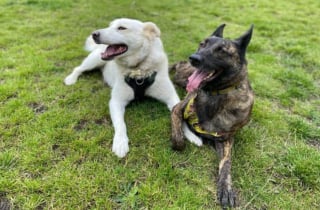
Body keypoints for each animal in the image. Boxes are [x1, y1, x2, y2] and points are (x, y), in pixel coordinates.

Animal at [64, 18, 202, 158]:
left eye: (121, 28)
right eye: (110, 26)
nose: (94, 34)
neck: (139, 70)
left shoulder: (172, 97)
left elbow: (179, 116)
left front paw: (191, 136)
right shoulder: (116, 101)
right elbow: (120, 124)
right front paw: (120, 143)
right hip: (95, 60)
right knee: (78, 68)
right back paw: (70, 79)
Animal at [171, 23, 254, 208]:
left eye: (222, 51)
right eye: (202, 44)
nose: (194, 58)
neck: (214, 94)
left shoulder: (225, 139)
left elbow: (226, 164)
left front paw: (226, 187)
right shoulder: (178, 108)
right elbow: (178, 138)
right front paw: (179, 140)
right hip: (181, 76)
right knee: (177, 66)